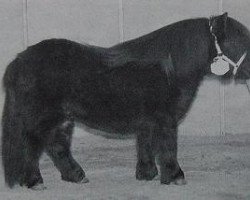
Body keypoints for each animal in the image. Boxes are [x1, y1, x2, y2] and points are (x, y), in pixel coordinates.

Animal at [1, 12, 250, 189]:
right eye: (241, 41)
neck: (172, 68)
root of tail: (17, 63)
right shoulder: (166, 118)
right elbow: (168, 146)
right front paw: (175, 176)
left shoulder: (149, 121)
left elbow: (146, 144)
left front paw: (147, 174)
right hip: (41, 118)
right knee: (31, 147)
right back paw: (35, 182)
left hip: (62, 119)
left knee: (57, 146)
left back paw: (77, 176)